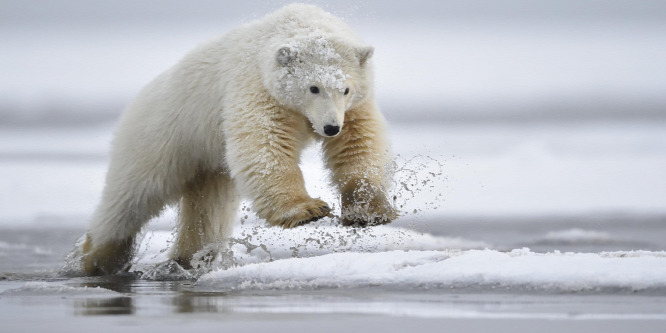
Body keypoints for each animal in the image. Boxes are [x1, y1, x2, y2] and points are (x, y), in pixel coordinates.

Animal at [81, 4, 394, 274]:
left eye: (345, 89)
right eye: (313, 87)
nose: (329, 128)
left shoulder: (354, 107)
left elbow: (359, 145)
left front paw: (369, 212)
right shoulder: (257, 86)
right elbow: (264, 145)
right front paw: (308, 209)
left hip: (208, 160)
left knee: (208, 210)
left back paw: (188, 259)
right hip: (160, 136)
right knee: (131, 198)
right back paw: (96, 260)